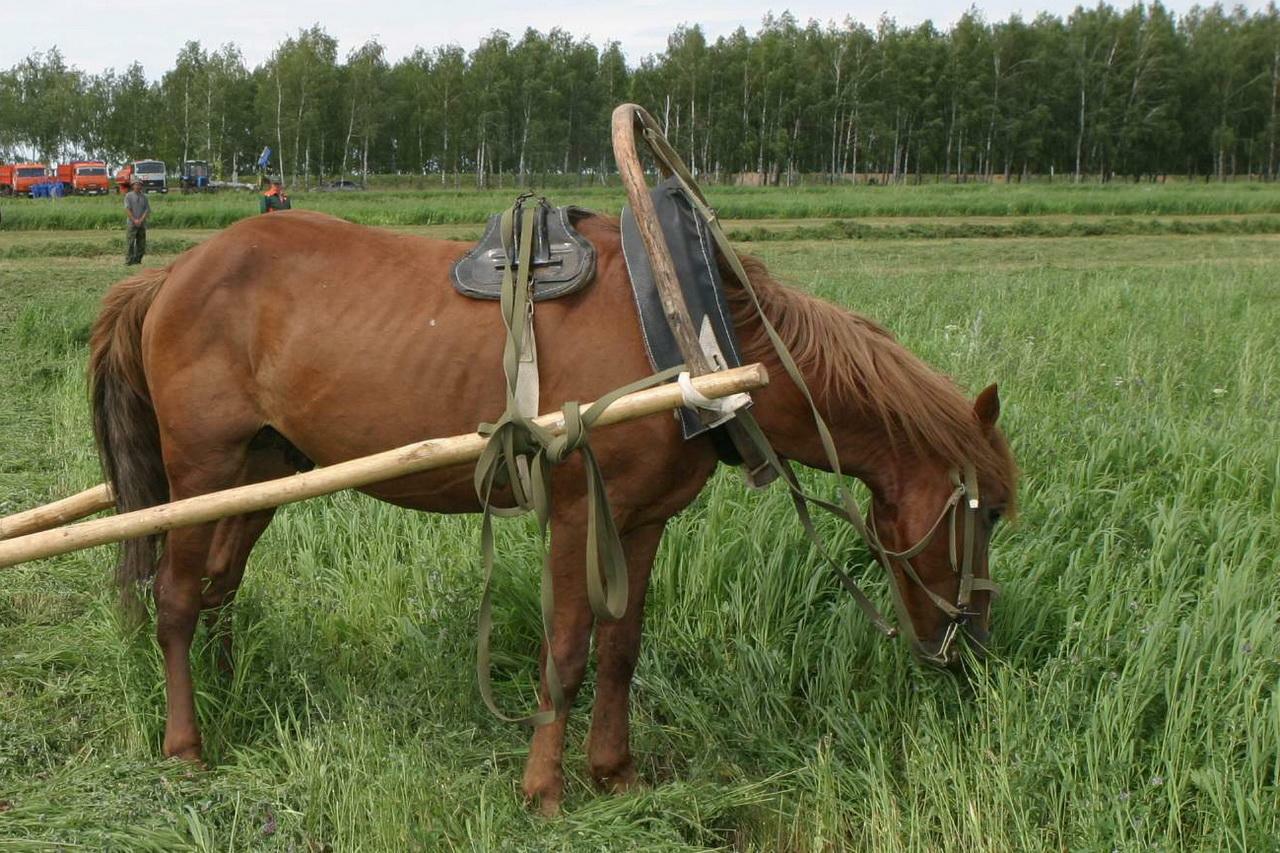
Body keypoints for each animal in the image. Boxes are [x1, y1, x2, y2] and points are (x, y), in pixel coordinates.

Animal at [85, 206, 1013, 809]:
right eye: (990, 510)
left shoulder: (641, 521)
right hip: (201, 469)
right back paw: (187, 742)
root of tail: (170, 273)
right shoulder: (576, 515)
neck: (690, 337)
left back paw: (228, 689)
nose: (971, 644)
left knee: (219, 588)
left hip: (264, 471)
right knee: (177, 598)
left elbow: (622, 649)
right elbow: (565, 651)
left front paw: (616, 772)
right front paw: (544, 788)